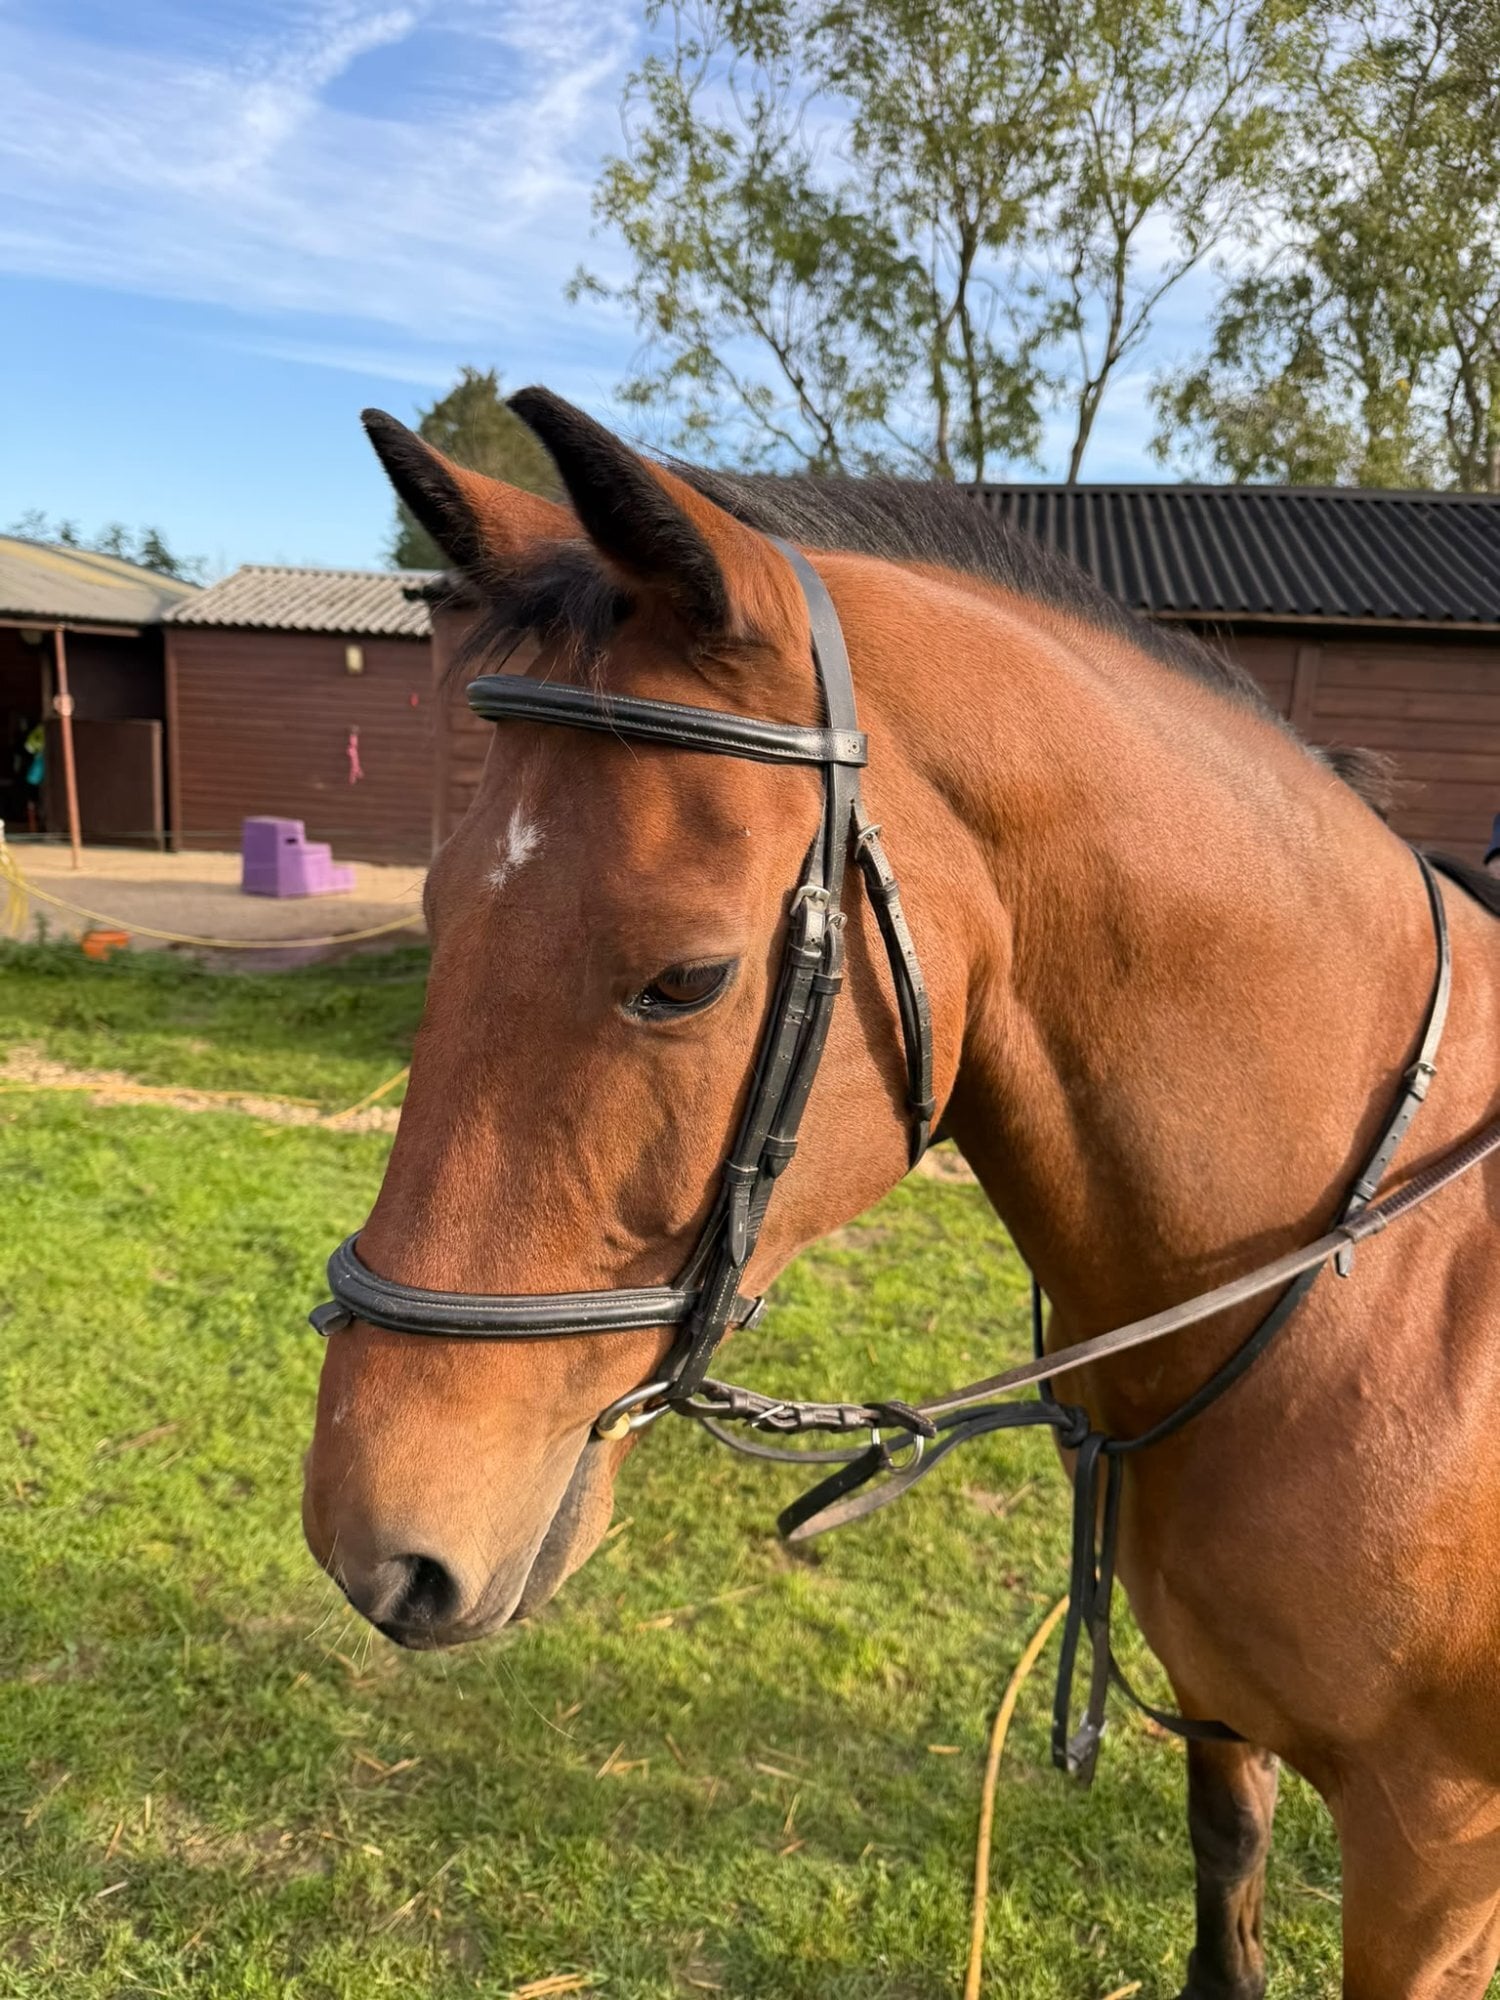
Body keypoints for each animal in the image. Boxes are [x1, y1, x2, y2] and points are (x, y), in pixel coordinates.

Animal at [301, 389, 1500, 1997]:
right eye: (435, 910)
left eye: (688, 979)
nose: (372, 1545)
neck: (1369, 1292)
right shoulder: (1220, 1723)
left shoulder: (1435, 1858)